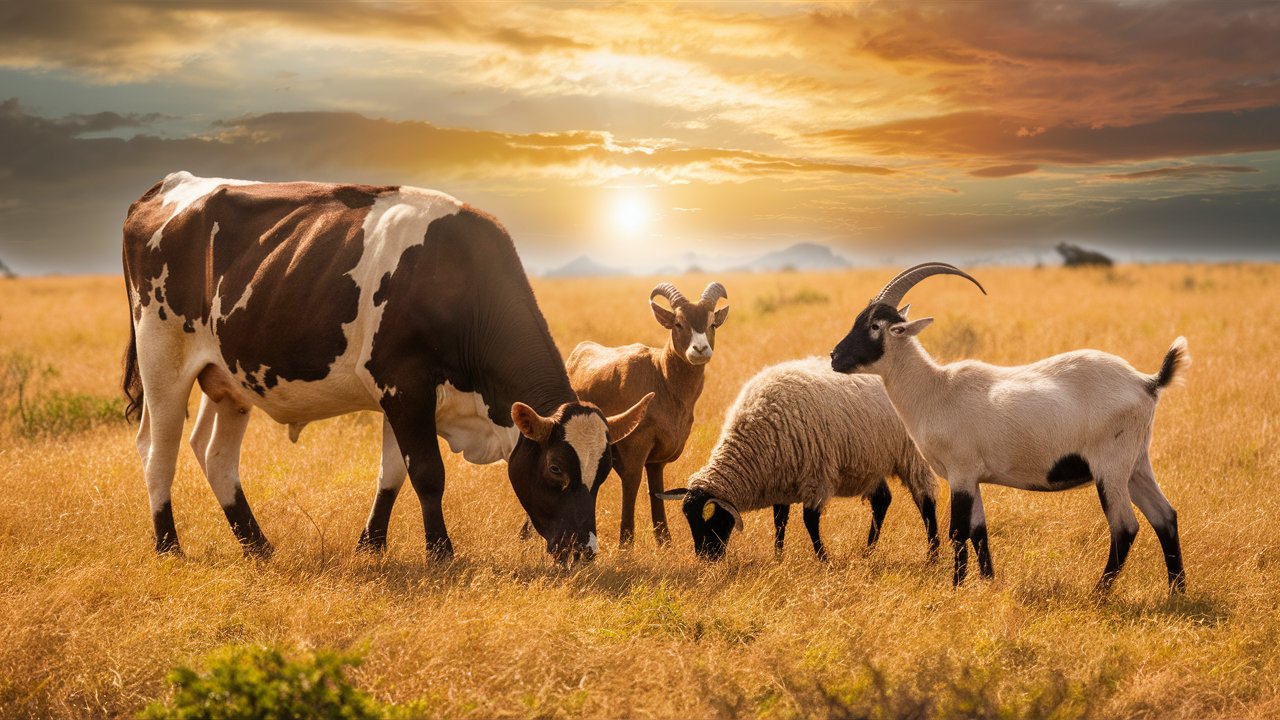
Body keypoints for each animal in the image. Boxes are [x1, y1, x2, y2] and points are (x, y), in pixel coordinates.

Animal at [120, 170, 650, 563]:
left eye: (604, 470)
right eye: (557, 468)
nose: (584, 551)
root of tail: (170, 185)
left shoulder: (405, 396)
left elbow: (392, 473)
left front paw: (371, 545)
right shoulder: (404, 385)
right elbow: (428, 473)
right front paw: (441, 552)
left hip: (230, 378)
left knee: (214, 454)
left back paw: (258, 546)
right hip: (162, 357)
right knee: (158, 449)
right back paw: (169, 547)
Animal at [563, 279, 732, 543]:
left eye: (711, 323)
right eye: (678, 322)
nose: (700, 350)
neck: (661, 376)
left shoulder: (656, 462)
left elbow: (658, 495)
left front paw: (666, 544)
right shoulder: (634, 455)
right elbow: (631, 490)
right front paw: (625, 547)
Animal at [655, 356, 936, 558]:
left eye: (709, 519)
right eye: (688, 520)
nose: (706, 558)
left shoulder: (816, 476)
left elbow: (809, 521)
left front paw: (823, 559)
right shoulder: (781, 479)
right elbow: (779, 522)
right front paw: (778, 557)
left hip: (912, 457)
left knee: (926, 501)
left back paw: (932, 554)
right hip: (871, 463)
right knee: (882, 501)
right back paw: (868, 551)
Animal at [829, 260, 1187, 591]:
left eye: (875, 325)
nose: (834, 357)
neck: (937, 389)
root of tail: (1146, 381)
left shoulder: (960, 473)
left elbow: (957, 531)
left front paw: (956, 587)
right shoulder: (973, 478)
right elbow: (979, 531)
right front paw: (987, 582)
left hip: (1109, 469)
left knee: (1125, 527)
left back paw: (1100, 592)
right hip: (1136, 466)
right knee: (1165, 516)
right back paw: (1176, 590)